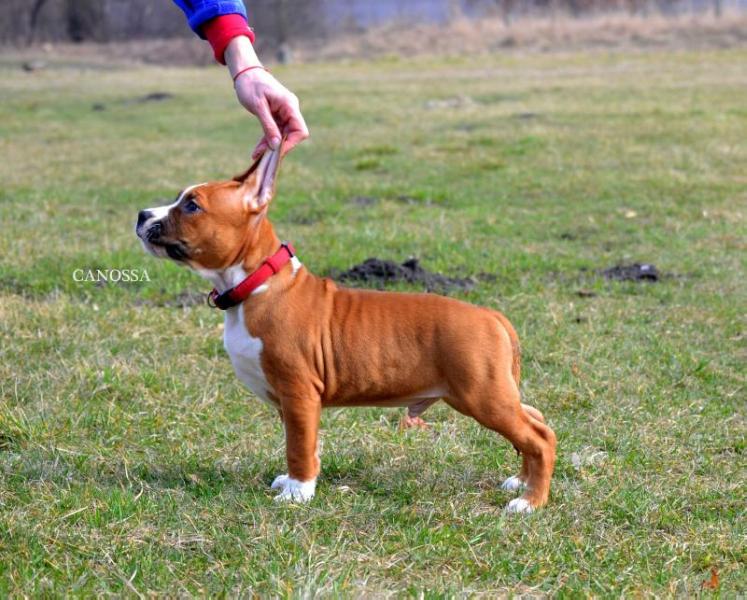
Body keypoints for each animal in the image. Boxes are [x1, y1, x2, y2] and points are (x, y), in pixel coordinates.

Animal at [137, 148, 556, 512]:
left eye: (192, 205)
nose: (141, 214)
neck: (257, 283)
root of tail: (491, 315)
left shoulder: (298, 391)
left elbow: (298, 445)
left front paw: (298, 494)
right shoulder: (293, 401)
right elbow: (303, 442)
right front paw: (296, 482)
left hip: (482, 395)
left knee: (538, 439)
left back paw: (529, 503)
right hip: (498, 393)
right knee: (537, 423)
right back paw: (521, 482)